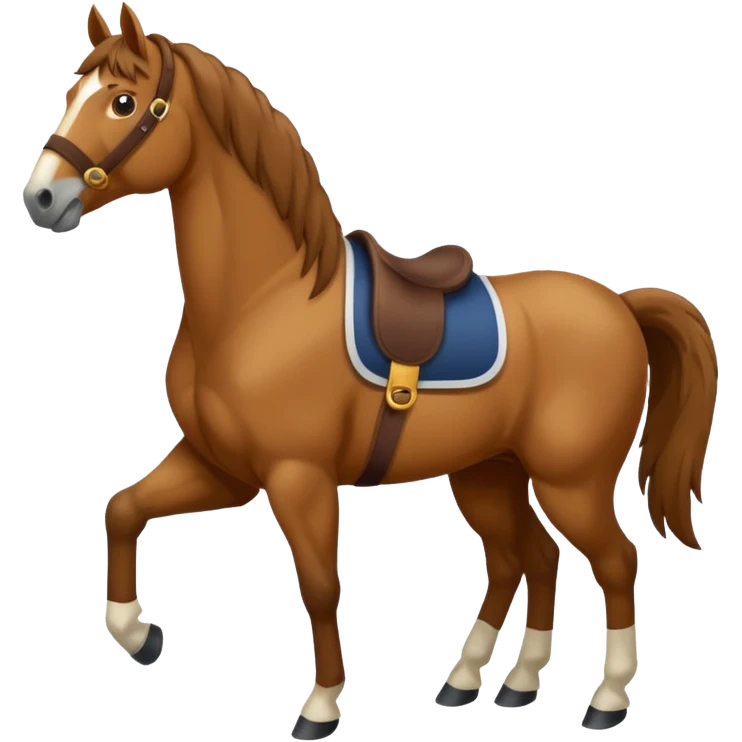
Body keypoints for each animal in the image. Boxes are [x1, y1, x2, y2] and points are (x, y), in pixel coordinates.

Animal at [23, 4, 719, 739]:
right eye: (73, 92)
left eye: (123, 102)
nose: (41, 198)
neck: (264, 299)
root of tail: (620, 305)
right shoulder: (221, 465)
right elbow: (123, 510)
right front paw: (139, 634)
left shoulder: (296, 476)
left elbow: (320, 583)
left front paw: (322, 705)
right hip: (488, 473)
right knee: (525, 558)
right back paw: (494, 683)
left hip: (571, 482)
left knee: (613, 561)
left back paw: (606, 699)